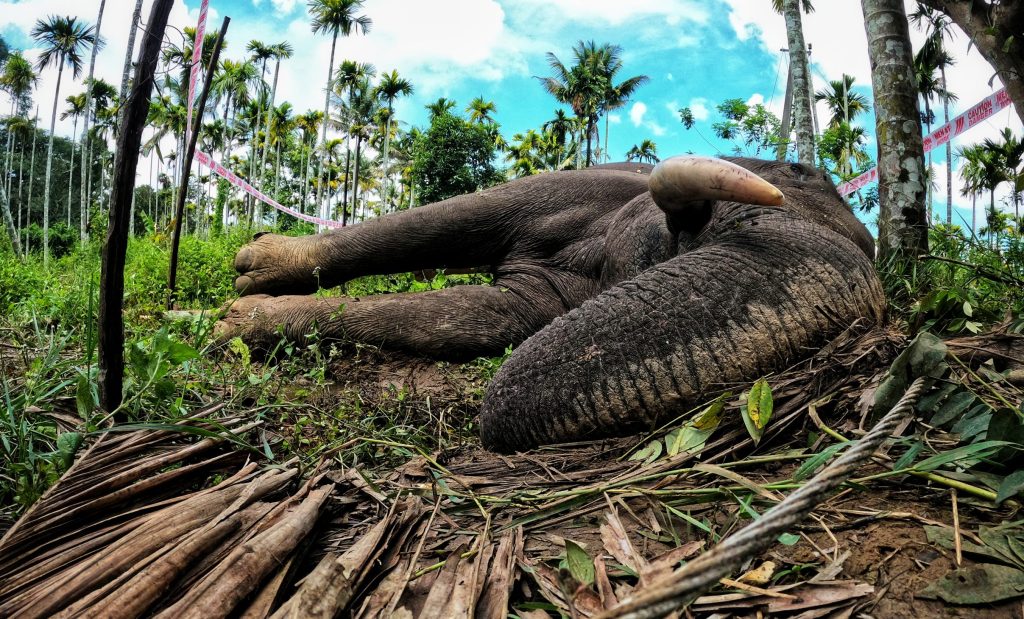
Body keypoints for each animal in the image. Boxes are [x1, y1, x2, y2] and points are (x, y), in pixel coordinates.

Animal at [219, 156, 885, 452]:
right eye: (798, 170)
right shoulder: (592, 184)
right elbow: (469, 211)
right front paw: (242, 295)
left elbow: (484, 318)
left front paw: (238, 320)